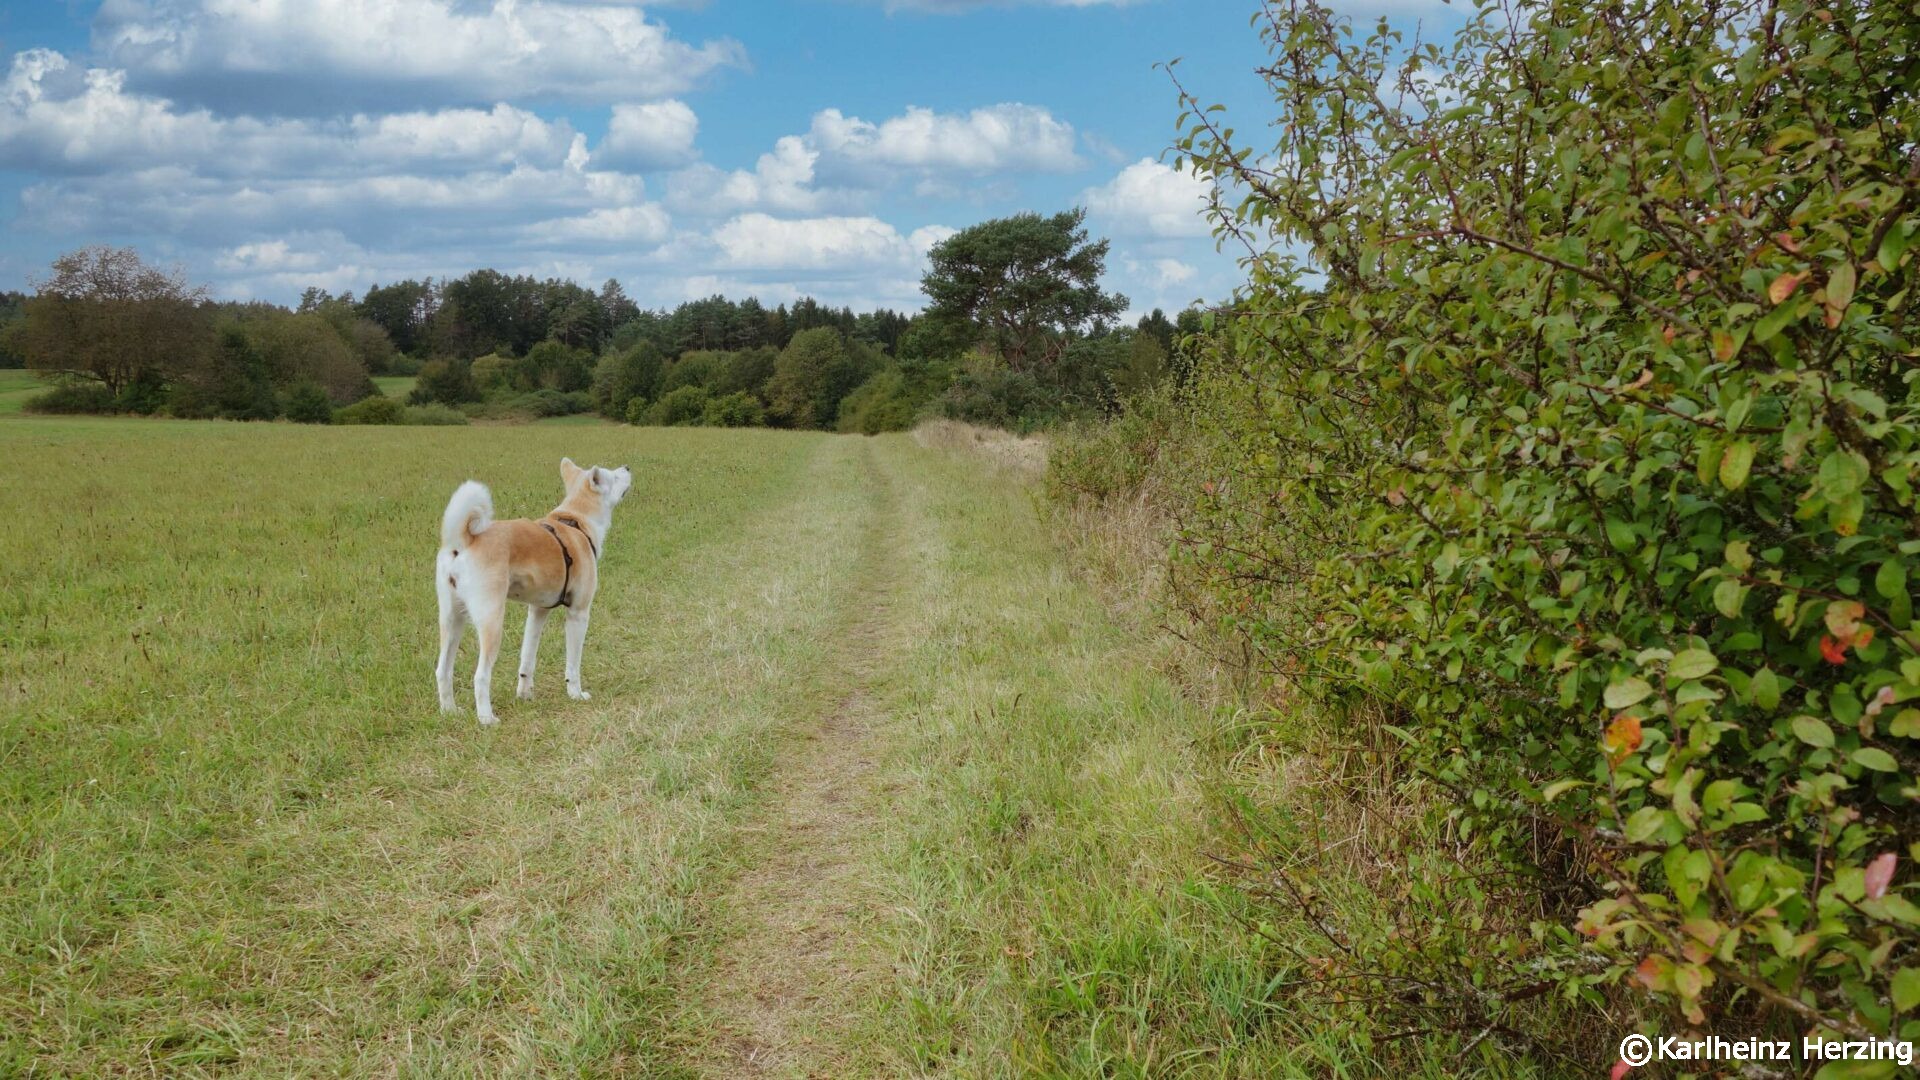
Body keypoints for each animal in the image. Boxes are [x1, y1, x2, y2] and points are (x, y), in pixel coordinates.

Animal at [433, 453, 629, 722]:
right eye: (615, 476)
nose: (628, 467)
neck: (576, 522)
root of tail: (463, 541)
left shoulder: (537, 611)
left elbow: (527, 658)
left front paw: (525, 694)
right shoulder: (578, 614)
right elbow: (573, 664)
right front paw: (576, 694)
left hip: (452, 618)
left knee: (442, 670)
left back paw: (449, 711)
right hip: (492, 621)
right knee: (480, 676)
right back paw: (487, 719)